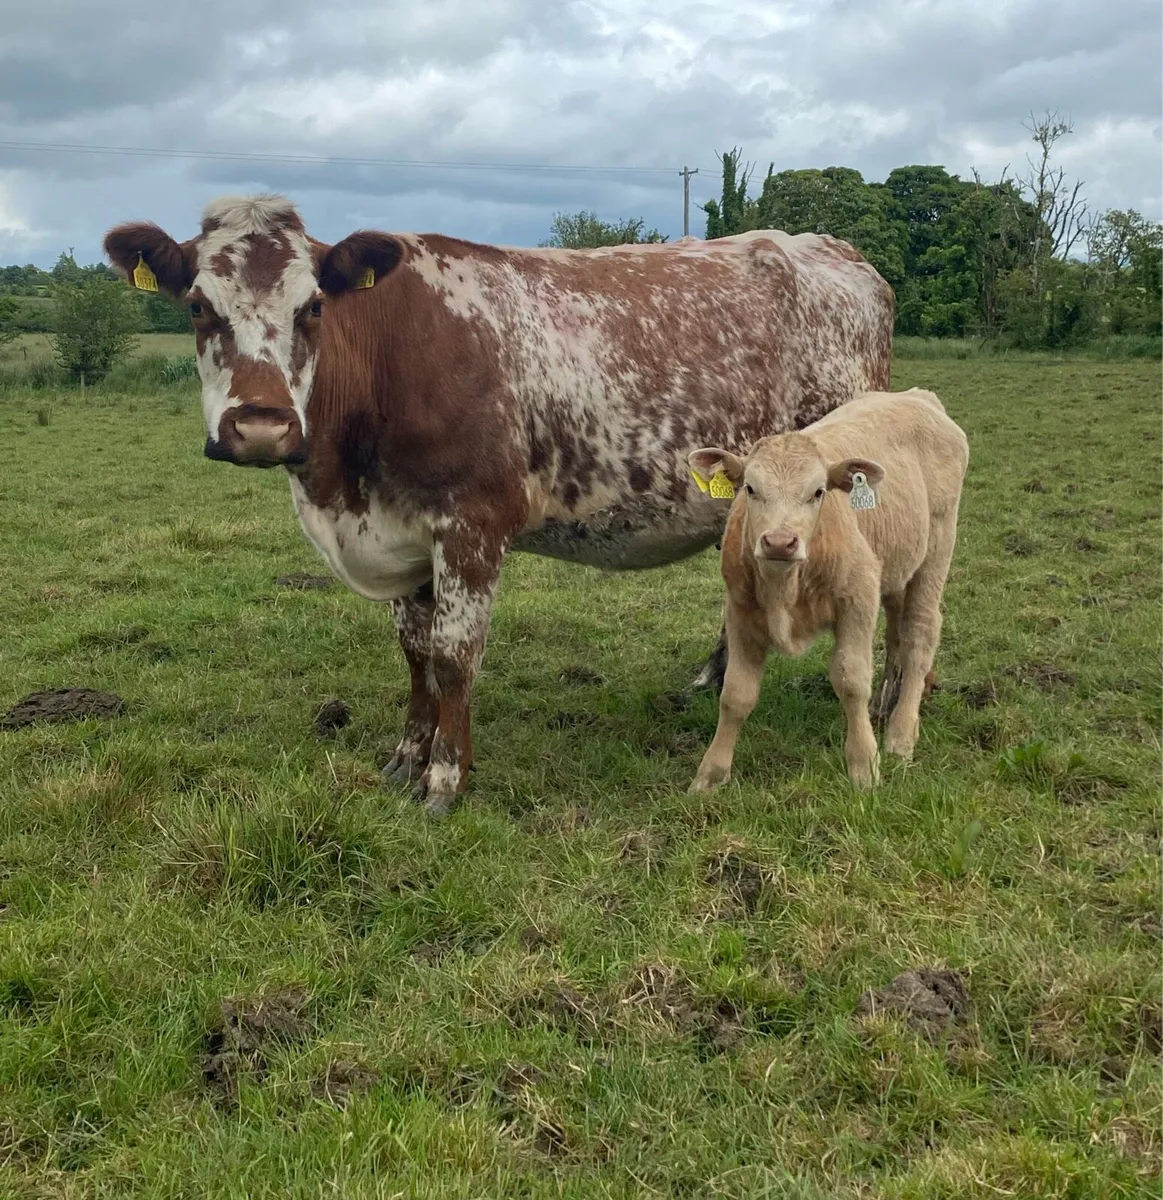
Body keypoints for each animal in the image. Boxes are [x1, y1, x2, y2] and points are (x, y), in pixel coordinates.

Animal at [104, 194, 893, 815]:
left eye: (314, 306)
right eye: (198, 307)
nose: (262, 427)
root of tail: (833, 248)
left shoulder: (471, 525)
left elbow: (455, 656)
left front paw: (445, 780)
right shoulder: (403, 534)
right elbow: (416, 654)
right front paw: (406, 758)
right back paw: (714, 677)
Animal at [686, 388, 968, 792]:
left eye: (818, 492)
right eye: (750, 489)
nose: (779, 542)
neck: (785, 586)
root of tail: (917, 396)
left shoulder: (858, 599)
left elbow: (851, 680)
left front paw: (864, 765)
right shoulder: (739, 610)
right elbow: (736, 694)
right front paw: (710, 775)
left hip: (936, 551)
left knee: (919, 636)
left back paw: (900, 736)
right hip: (897, 564)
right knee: (897, 633)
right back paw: (884, 709)